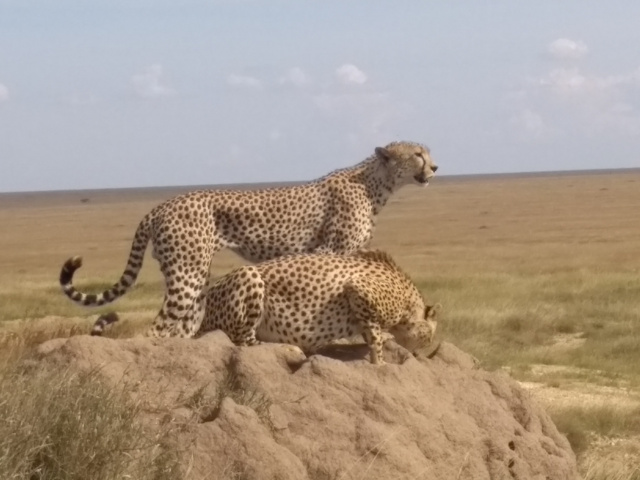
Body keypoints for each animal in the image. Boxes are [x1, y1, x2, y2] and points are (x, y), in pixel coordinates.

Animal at [59, 141, 438, 338]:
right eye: (418, 154)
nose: (435, 168)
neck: (377, 183)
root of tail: (161, 205)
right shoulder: (333, 249)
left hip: (194, 275)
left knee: (184, 323)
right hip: (187, 272)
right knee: (159, 327)